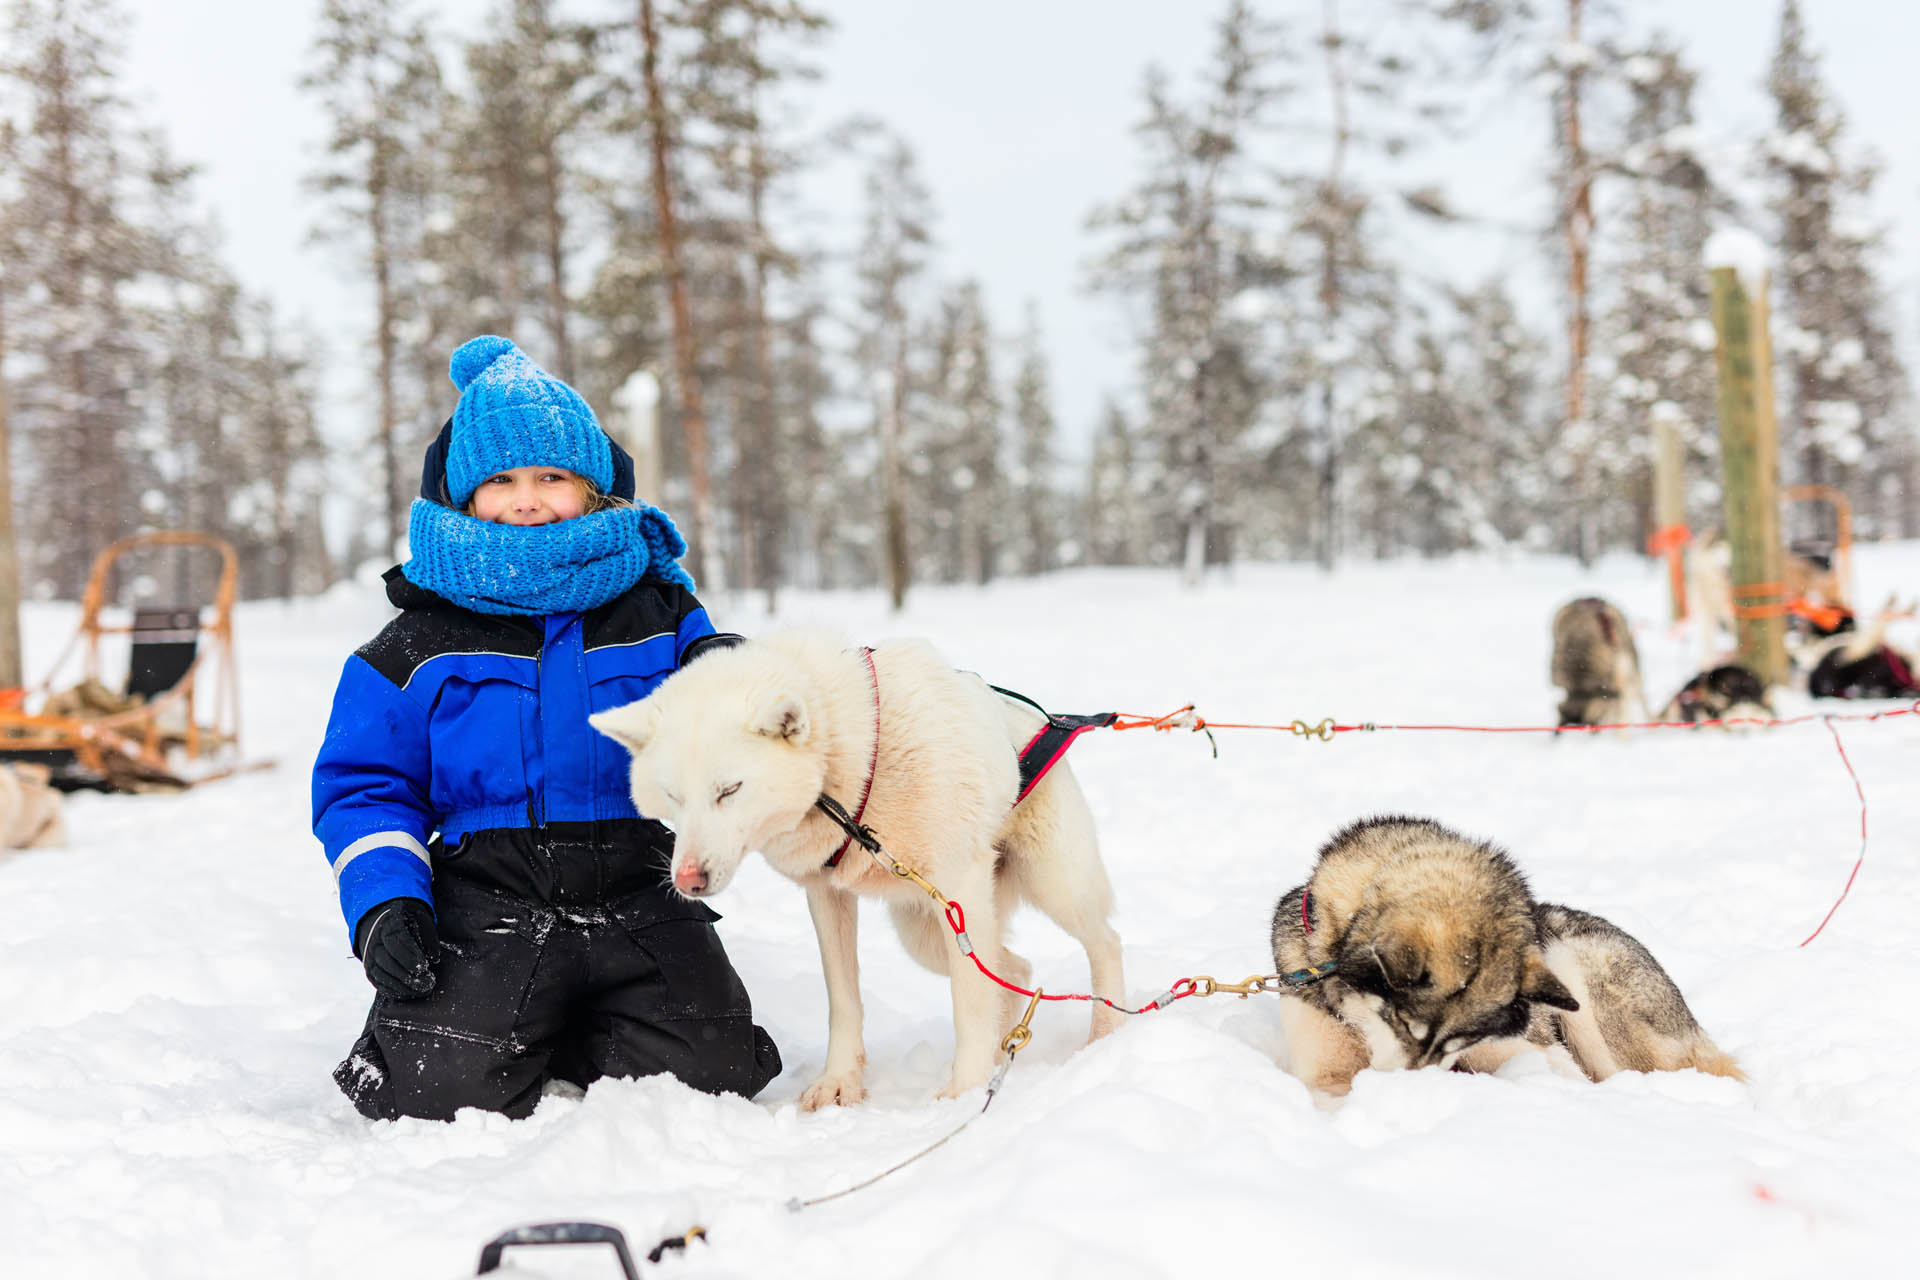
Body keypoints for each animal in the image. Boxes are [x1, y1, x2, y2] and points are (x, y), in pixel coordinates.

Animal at [583, 633, 1121, 1113]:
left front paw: (962, 1093)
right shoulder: (826, 895)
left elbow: (968, 1003)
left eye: (729, 790)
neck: (858, 765)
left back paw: (1105, 1037)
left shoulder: (961, 887)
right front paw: (839, 1081)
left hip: (1048, 888)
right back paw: (1002, 1050)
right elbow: (843, 999)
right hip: (927, 932)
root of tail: (1048, 720)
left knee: (1103, 944)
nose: (687, 881)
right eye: (673, 796)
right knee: (1012, 970)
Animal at [1267, 817, 1751, 1097]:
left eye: (1460, 1042)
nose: (1413, 1094)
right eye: (1401, 1023)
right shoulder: (1322, 1071)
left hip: (1577, 974)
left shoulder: (1532, 1053)